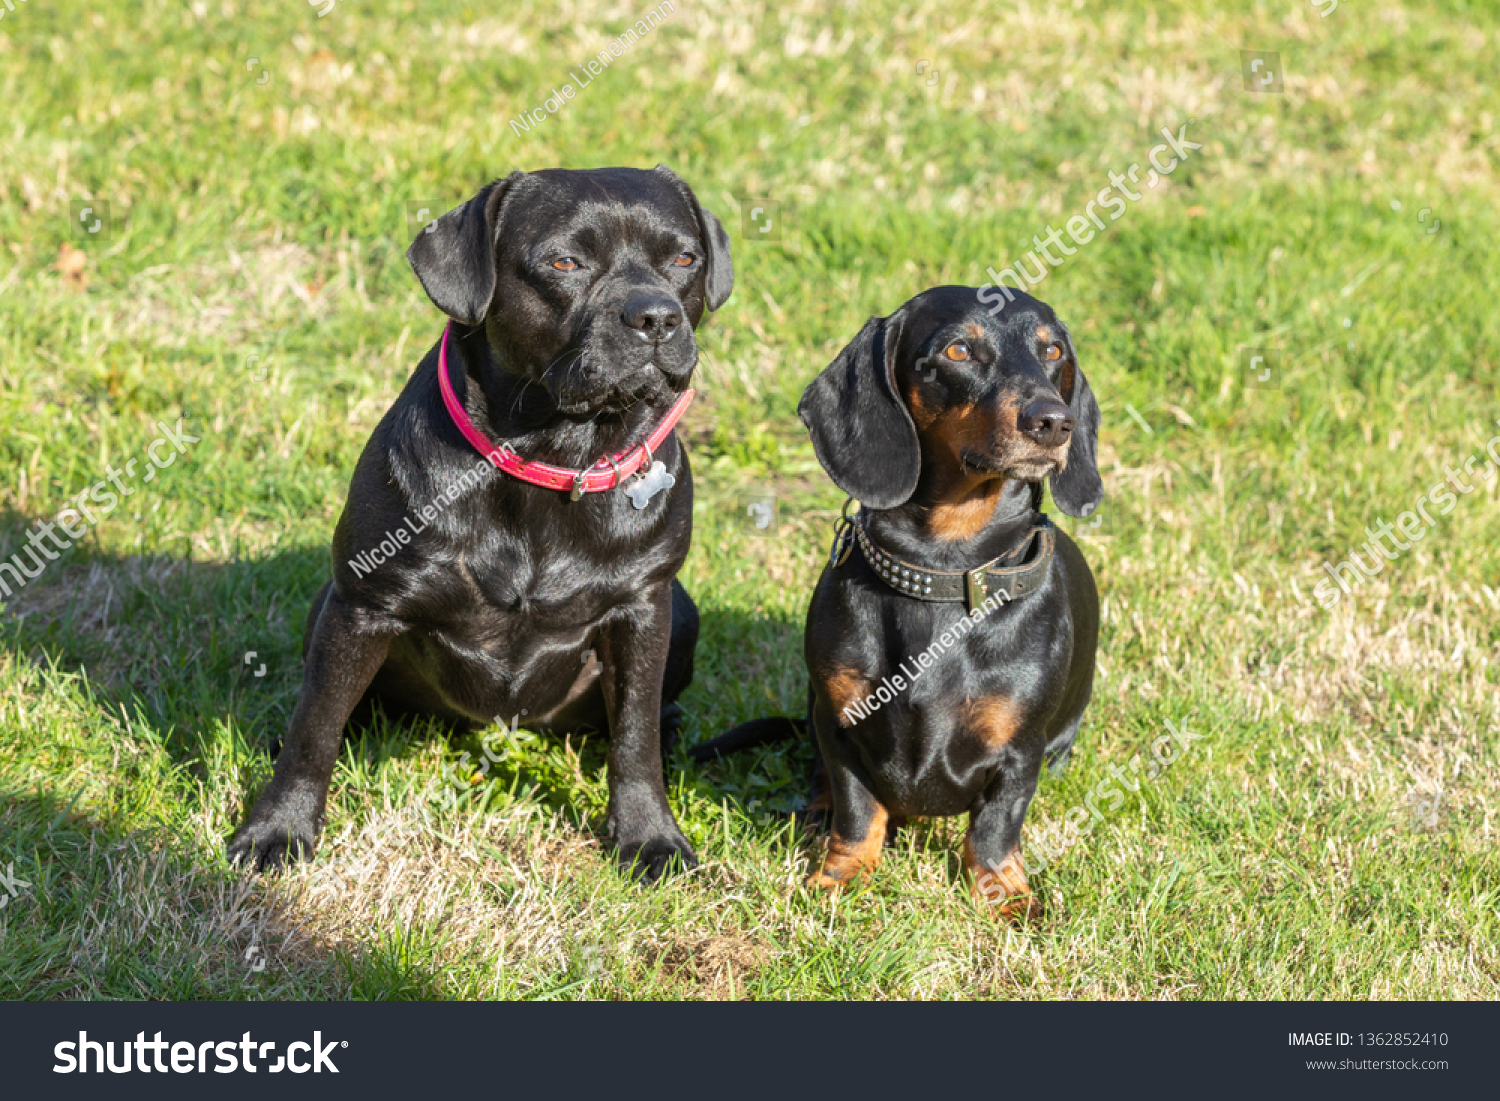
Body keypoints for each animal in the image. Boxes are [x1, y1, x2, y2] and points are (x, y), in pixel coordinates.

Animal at [226, 163, 732, 882]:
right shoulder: (364, 606)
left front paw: (649, 836)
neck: (551, 454)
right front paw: (277, 828)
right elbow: (314, 728)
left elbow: (633, 737)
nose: (655, 315)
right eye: (565, 261)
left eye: (685, 259)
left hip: (682, 611)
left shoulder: (642, 608)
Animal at [693, 286, 1104, 924]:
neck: (941, 572)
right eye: (958, 350)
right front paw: (841, 875)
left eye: (1053, 350)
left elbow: (996, 825)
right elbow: (858, 808)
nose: (1053, 423)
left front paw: (1004, 893)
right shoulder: (838, 725)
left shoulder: (1021, 750)